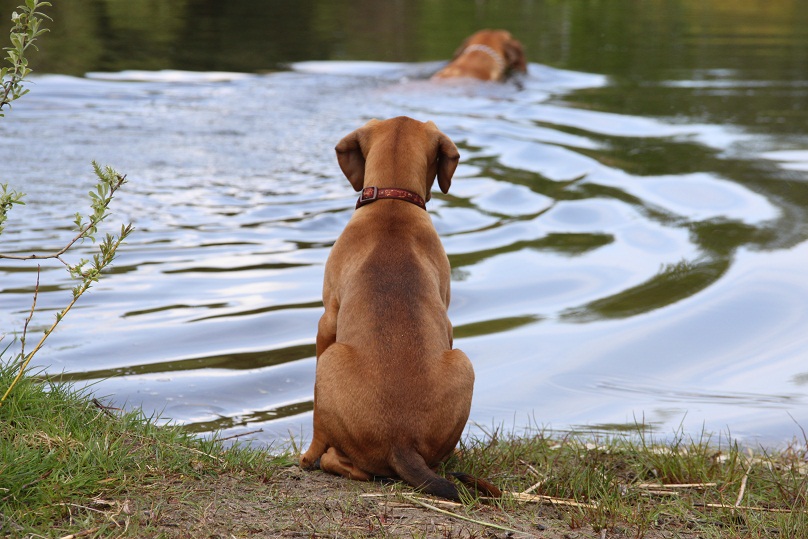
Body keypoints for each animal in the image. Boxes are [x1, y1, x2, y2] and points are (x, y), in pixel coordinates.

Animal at [296, 116, 486, 500]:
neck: (393, 204)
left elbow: (315, 421)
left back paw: (326, 459)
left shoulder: (327, 320)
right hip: (462, 361)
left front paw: (306, 457)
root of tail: (402, 442)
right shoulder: (448, 323)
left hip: (331, 359)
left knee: (348, 464)